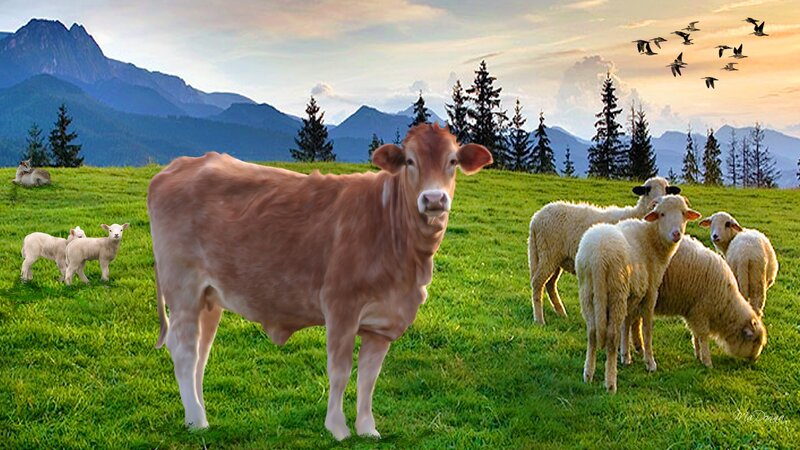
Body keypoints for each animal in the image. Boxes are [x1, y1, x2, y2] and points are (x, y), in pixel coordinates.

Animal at [147, 124, 492, 440]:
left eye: (452, 161)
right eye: (410, 161)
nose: (433, 199)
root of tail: (176, 167)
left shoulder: (383, 322)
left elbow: (369, 377)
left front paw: (367, 428)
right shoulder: (341, 306)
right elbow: (340, 371)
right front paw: (338, 428)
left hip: (209, 297)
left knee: (201, 354)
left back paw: (198, 413)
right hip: (184, 288)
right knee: (185, 351)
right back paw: (197, 419)